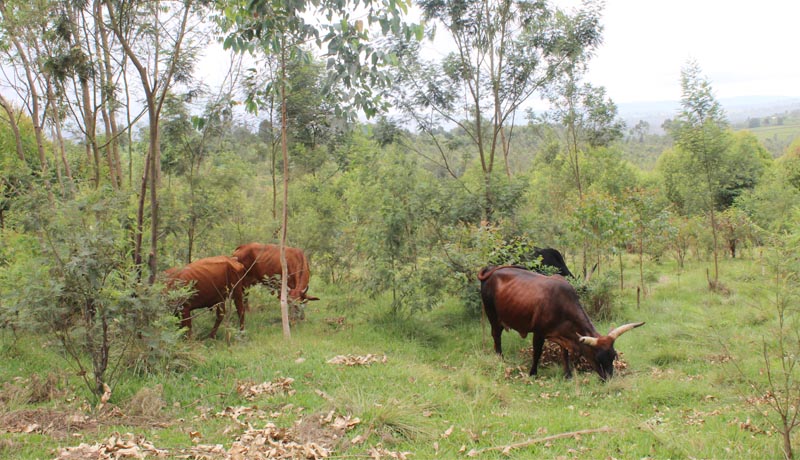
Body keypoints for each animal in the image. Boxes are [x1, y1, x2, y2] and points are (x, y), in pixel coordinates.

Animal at [476, 266, 644, 380]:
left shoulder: (564, 335)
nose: (608, 379)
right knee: (496, 336)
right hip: (493, 316)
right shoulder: (538, 333)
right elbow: (537, 353)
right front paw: (533, 373)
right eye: (598, 357)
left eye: (613, 356)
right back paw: (500, 359)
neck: (562, 303)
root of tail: (491, 270)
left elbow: (565, 353)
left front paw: (567, 374)